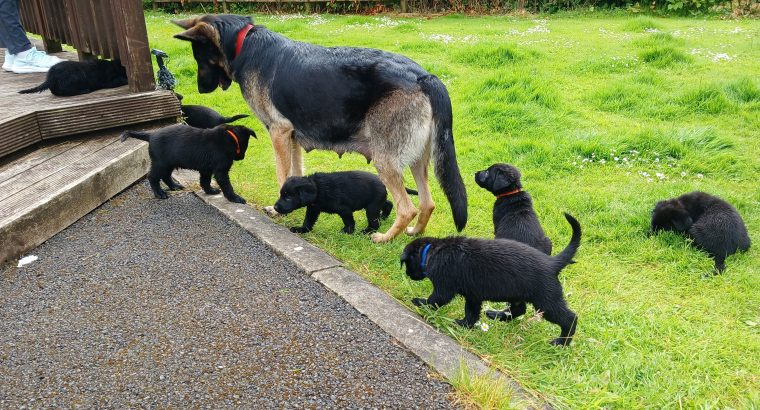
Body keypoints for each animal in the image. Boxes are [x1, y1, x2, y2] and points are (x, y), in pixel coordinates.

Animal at [120, 123, 256, 203]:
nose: (242, 157)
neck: (231, 137)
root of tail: (151, 135)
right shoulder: (221, 170)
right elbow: (227, 186)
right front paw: (235, 198)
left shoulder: (206, 169)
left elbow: (205, 181)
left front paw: (210, 191)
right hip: (160, 163)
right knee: (152, 177)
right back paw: (159, 193)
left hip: (168, 163)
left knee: (166, 176)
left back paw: (175, 186)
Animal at [274, 170, 416, 234]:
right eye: (282, 195)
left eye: (288, 197)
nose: (275, 207)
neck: (318, 189)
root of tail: (382, 180)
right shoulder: (313, 208)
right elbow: (308, 220)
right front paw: (302, 229)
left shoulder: (344, 209)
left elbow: (349, 221)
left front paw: (348, 231)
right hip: (376, 201)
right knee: (388, 204)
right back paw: (384, 217)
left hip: (372, 207)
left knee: (374, 222)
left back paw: (367, 232)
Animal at [400, 215, 584, 346]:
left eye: (407, 264)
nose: (408, 275)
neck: (431, 251)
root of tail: (552, 262)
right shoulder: (473, 295)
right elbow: (471, 312)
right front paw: (465, 324)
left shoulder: (444, 287)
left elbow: (435, 299)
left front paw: (419, 302)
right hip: (518, 294)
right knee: (519, 309)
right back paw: (496, 315)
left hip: (546, 301)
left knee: (569, 318)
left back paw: (562, 342)